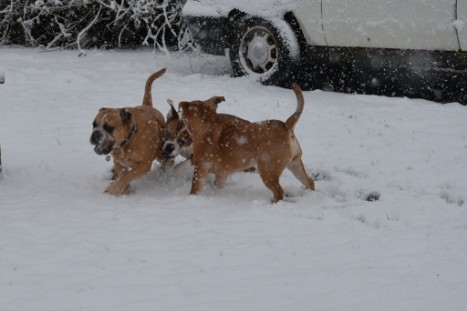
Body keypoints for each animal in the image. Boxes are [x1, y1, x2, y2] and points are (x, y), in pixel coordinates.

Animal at [178, 82, 314, 202]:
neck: (208, 121)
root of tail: (286, 126)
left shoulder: (200, 167)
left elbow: (194, 189)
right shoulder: (222, 174)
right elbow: (218, 184)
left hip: (268, 171)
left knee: (279, 192)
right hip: (295, 165)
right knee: (309, 181)